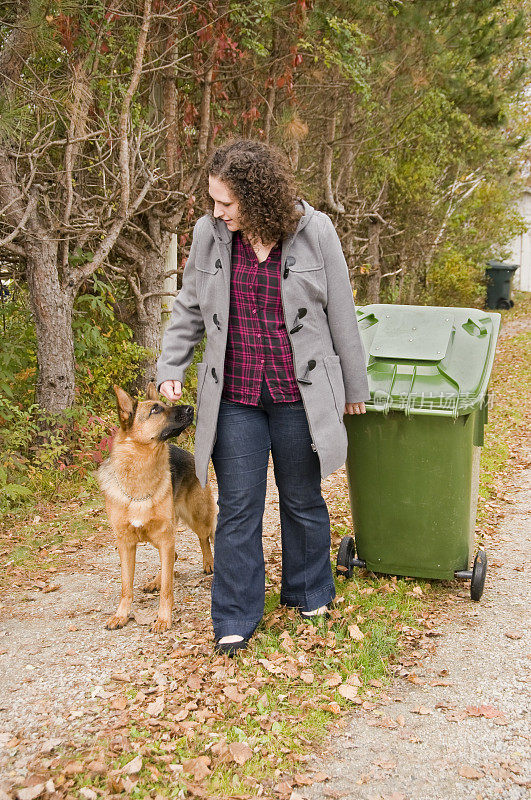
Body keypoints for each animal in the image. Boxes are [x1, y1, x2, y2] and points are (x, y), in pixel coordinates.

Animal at [97, 384, 216, 636]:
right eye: (155, 409)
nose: (191, 408)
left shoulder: (164, 536)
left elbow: (168, 589)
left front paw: (163, 618)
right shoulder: (126, 544)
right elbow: (126, 586)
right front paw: (121, 615)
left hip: (196, 518)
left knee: (205, 538)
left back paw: (209, 563)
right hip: (158, 535)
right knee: (175, 555)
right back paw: (155, 581)